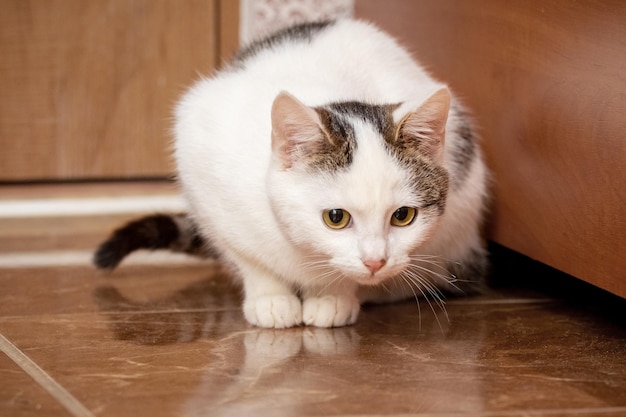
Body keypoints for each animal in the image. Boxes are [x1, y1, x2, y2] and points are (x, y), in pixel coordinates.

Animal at [95, 18, 490, 328]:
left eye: (403, 216)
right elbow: (247, 256)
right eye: (335, 217)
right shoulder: (201, 168)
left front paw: (333, 296)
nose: (375, 262)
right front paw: (271, 298)